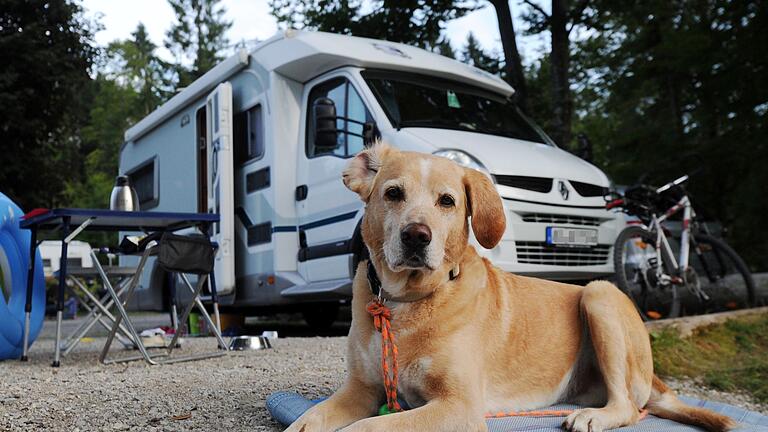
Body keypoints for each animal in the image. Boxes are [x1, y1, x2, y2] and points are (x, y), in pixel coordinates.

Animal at [284, 143, 736, 432]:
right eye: (393, 193)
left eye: (447, 201)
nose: (416, 236)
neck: (405, 301)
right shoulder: (361, 390)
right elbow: (309, 421)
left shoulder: (459, 406)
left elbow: (367, 429)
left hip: (599, 294)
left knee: (626, 406)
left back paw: (594, 418)